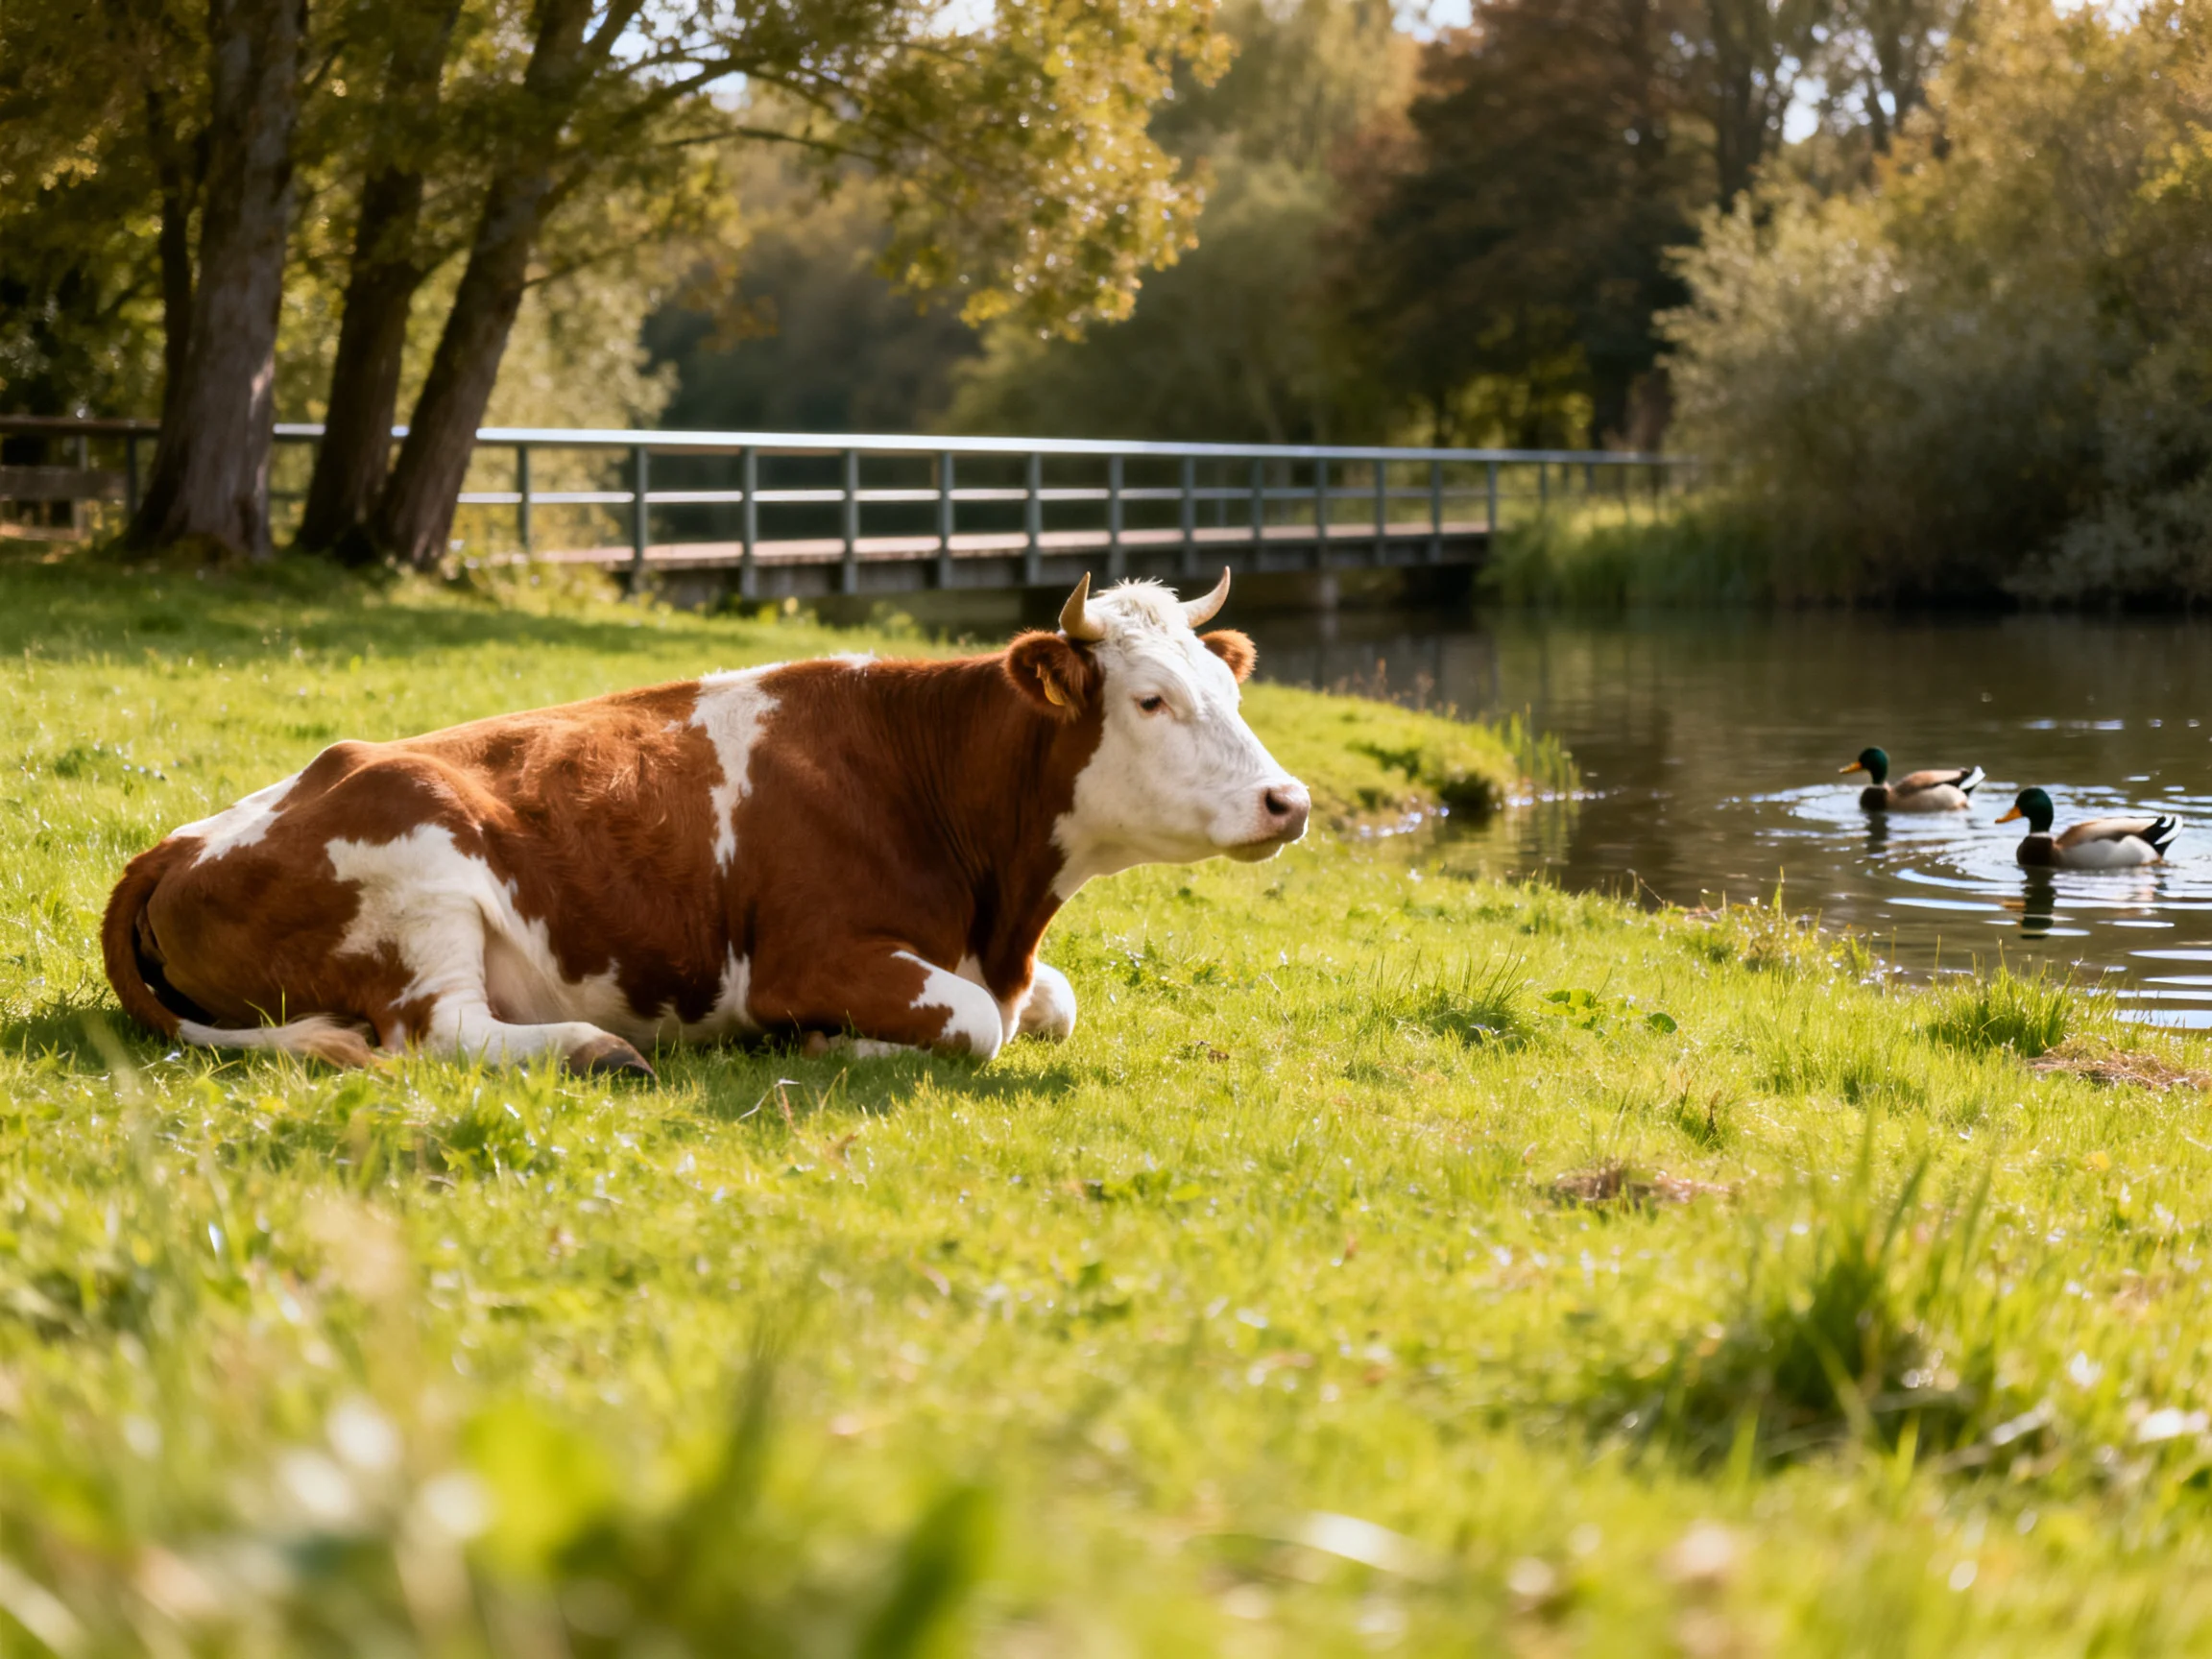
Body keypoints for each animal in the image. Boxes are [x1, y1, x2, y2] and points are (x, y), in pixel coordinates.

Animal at [101, 571, 1310, 1078]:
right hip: (421, 863)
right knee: (443, 1031)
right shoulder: (805, 957)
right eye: (1149, 698)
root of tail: (176, 842)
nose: (1288, 801)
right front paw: (827, 1042)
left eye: (1230, 685)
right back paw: (594, 1048)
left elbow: (1049, 1005)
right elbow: (977, 1024)